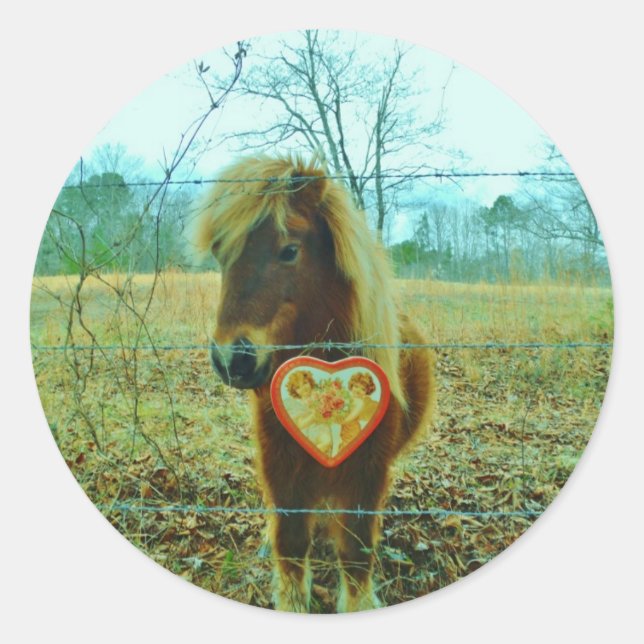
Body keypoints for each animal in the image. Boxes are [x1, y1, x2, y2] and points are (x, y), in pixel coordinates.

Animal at [192, 155, 435, 612]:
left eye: (290, 250)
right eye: (220, 254)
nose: (232, 359)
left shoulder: (366, 476)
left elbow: (355, 554)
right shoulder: (280, 467)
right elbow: (290, 544)